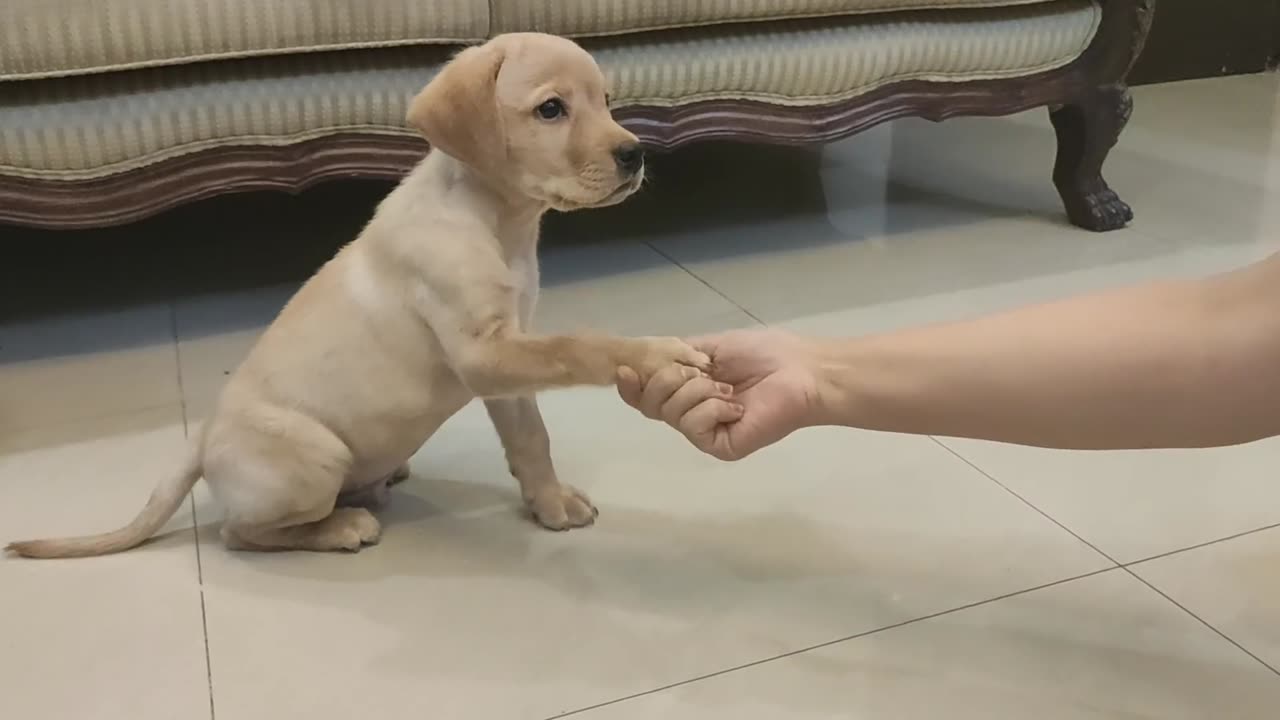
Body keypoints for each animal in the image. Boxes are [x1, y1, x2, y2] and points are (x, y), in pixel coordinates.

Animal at [7, 33, 711, 558]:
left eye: (606, 100)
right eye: (550, 109)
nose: (635, 154)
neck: (493, 218)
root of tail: (200, 442)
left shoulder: (509, 360)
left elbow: (531, 439)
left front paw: (550, 502)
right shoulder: (485, 353)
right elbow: (582, 344)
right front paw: (656, 354)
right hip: (316, 456)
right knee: (242, 532)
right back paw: (343, 525)